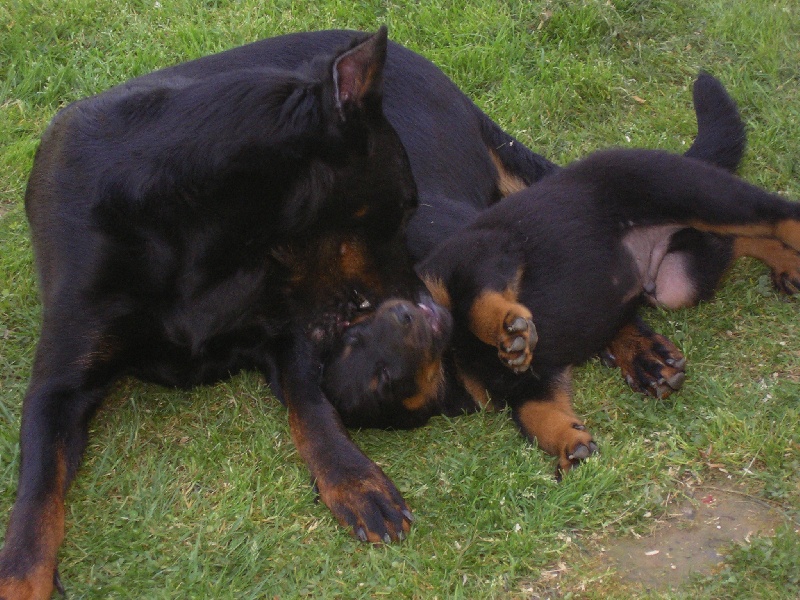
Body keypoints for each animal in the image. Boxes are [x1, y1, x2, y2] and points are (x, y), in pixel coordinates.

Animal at [322, 71, 800, 474]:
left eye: (358, 328)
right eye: (382, 378)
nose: (405, 314)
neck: (452, 356)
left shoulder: (485, 252)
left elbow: (478, 303)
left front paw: (508, 329)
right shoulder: (535, 382)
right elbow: (536, 414)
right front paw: (570, 443)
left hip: (684, 189)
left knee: (771, 212)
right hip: (677, 281)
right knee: (733, 240)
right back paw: (786, 265)